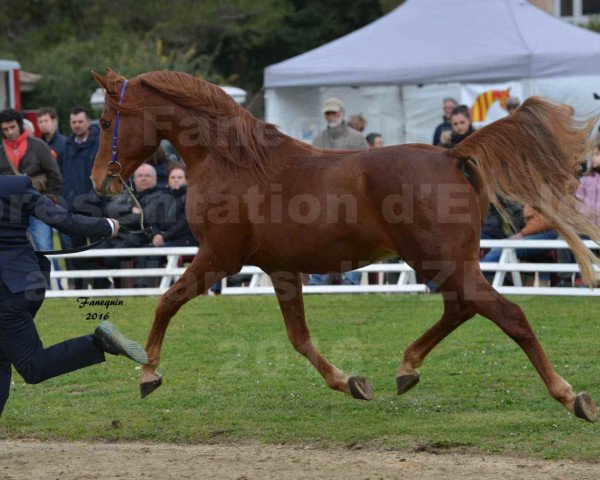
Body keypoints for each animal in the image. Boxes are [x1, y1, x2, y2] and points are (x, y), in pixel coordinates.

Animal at [90, 69, 600, 422]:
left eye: (104, 120)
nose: (98, 181)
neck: (233, 162)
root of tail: (451, 154)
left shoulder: (219, 258)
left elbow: (166, 302)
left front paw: (148, 372)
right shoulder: (280, 269)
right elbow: (299, 338)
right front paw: (351, 382)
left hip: (443, 260)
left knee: (506, 315)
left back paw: (570, 397)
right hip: (441, 262)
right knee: (461, 309)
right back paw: (407, 368)